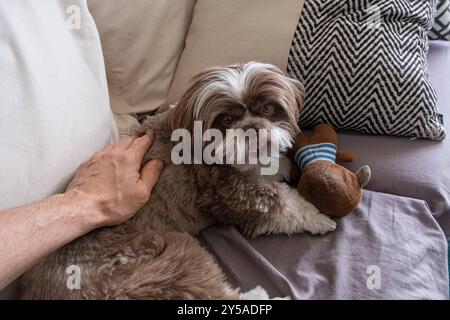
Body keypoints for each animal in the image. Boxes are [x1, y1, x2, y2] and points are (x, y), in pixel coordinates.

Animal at [22, 62, 338, 300]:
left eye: (269, 109)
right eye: (226, 119)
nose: (252, 128)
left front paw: (278, 164)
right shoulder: (228, 192)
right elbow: (282, 203)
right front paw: (317, 217)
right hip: (171, 257)